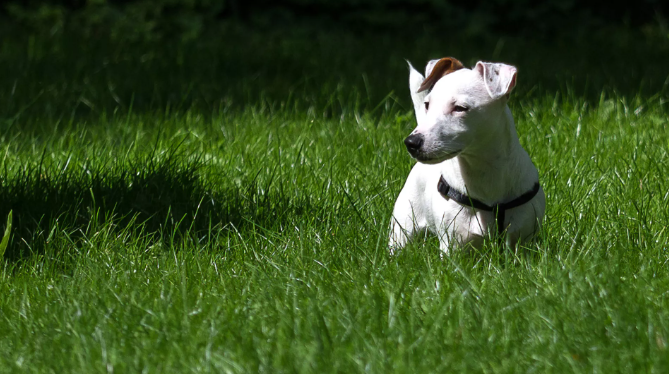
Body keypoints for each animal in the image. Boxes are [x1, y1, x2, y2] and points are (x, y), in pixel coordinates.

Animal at [388, 56, 544, 254]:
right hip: (403, 227)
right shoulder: (452, 245)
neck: (484, 173)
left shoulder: (524, 242)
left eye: (460, 108)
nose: (411, 142)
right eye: (427, 105)